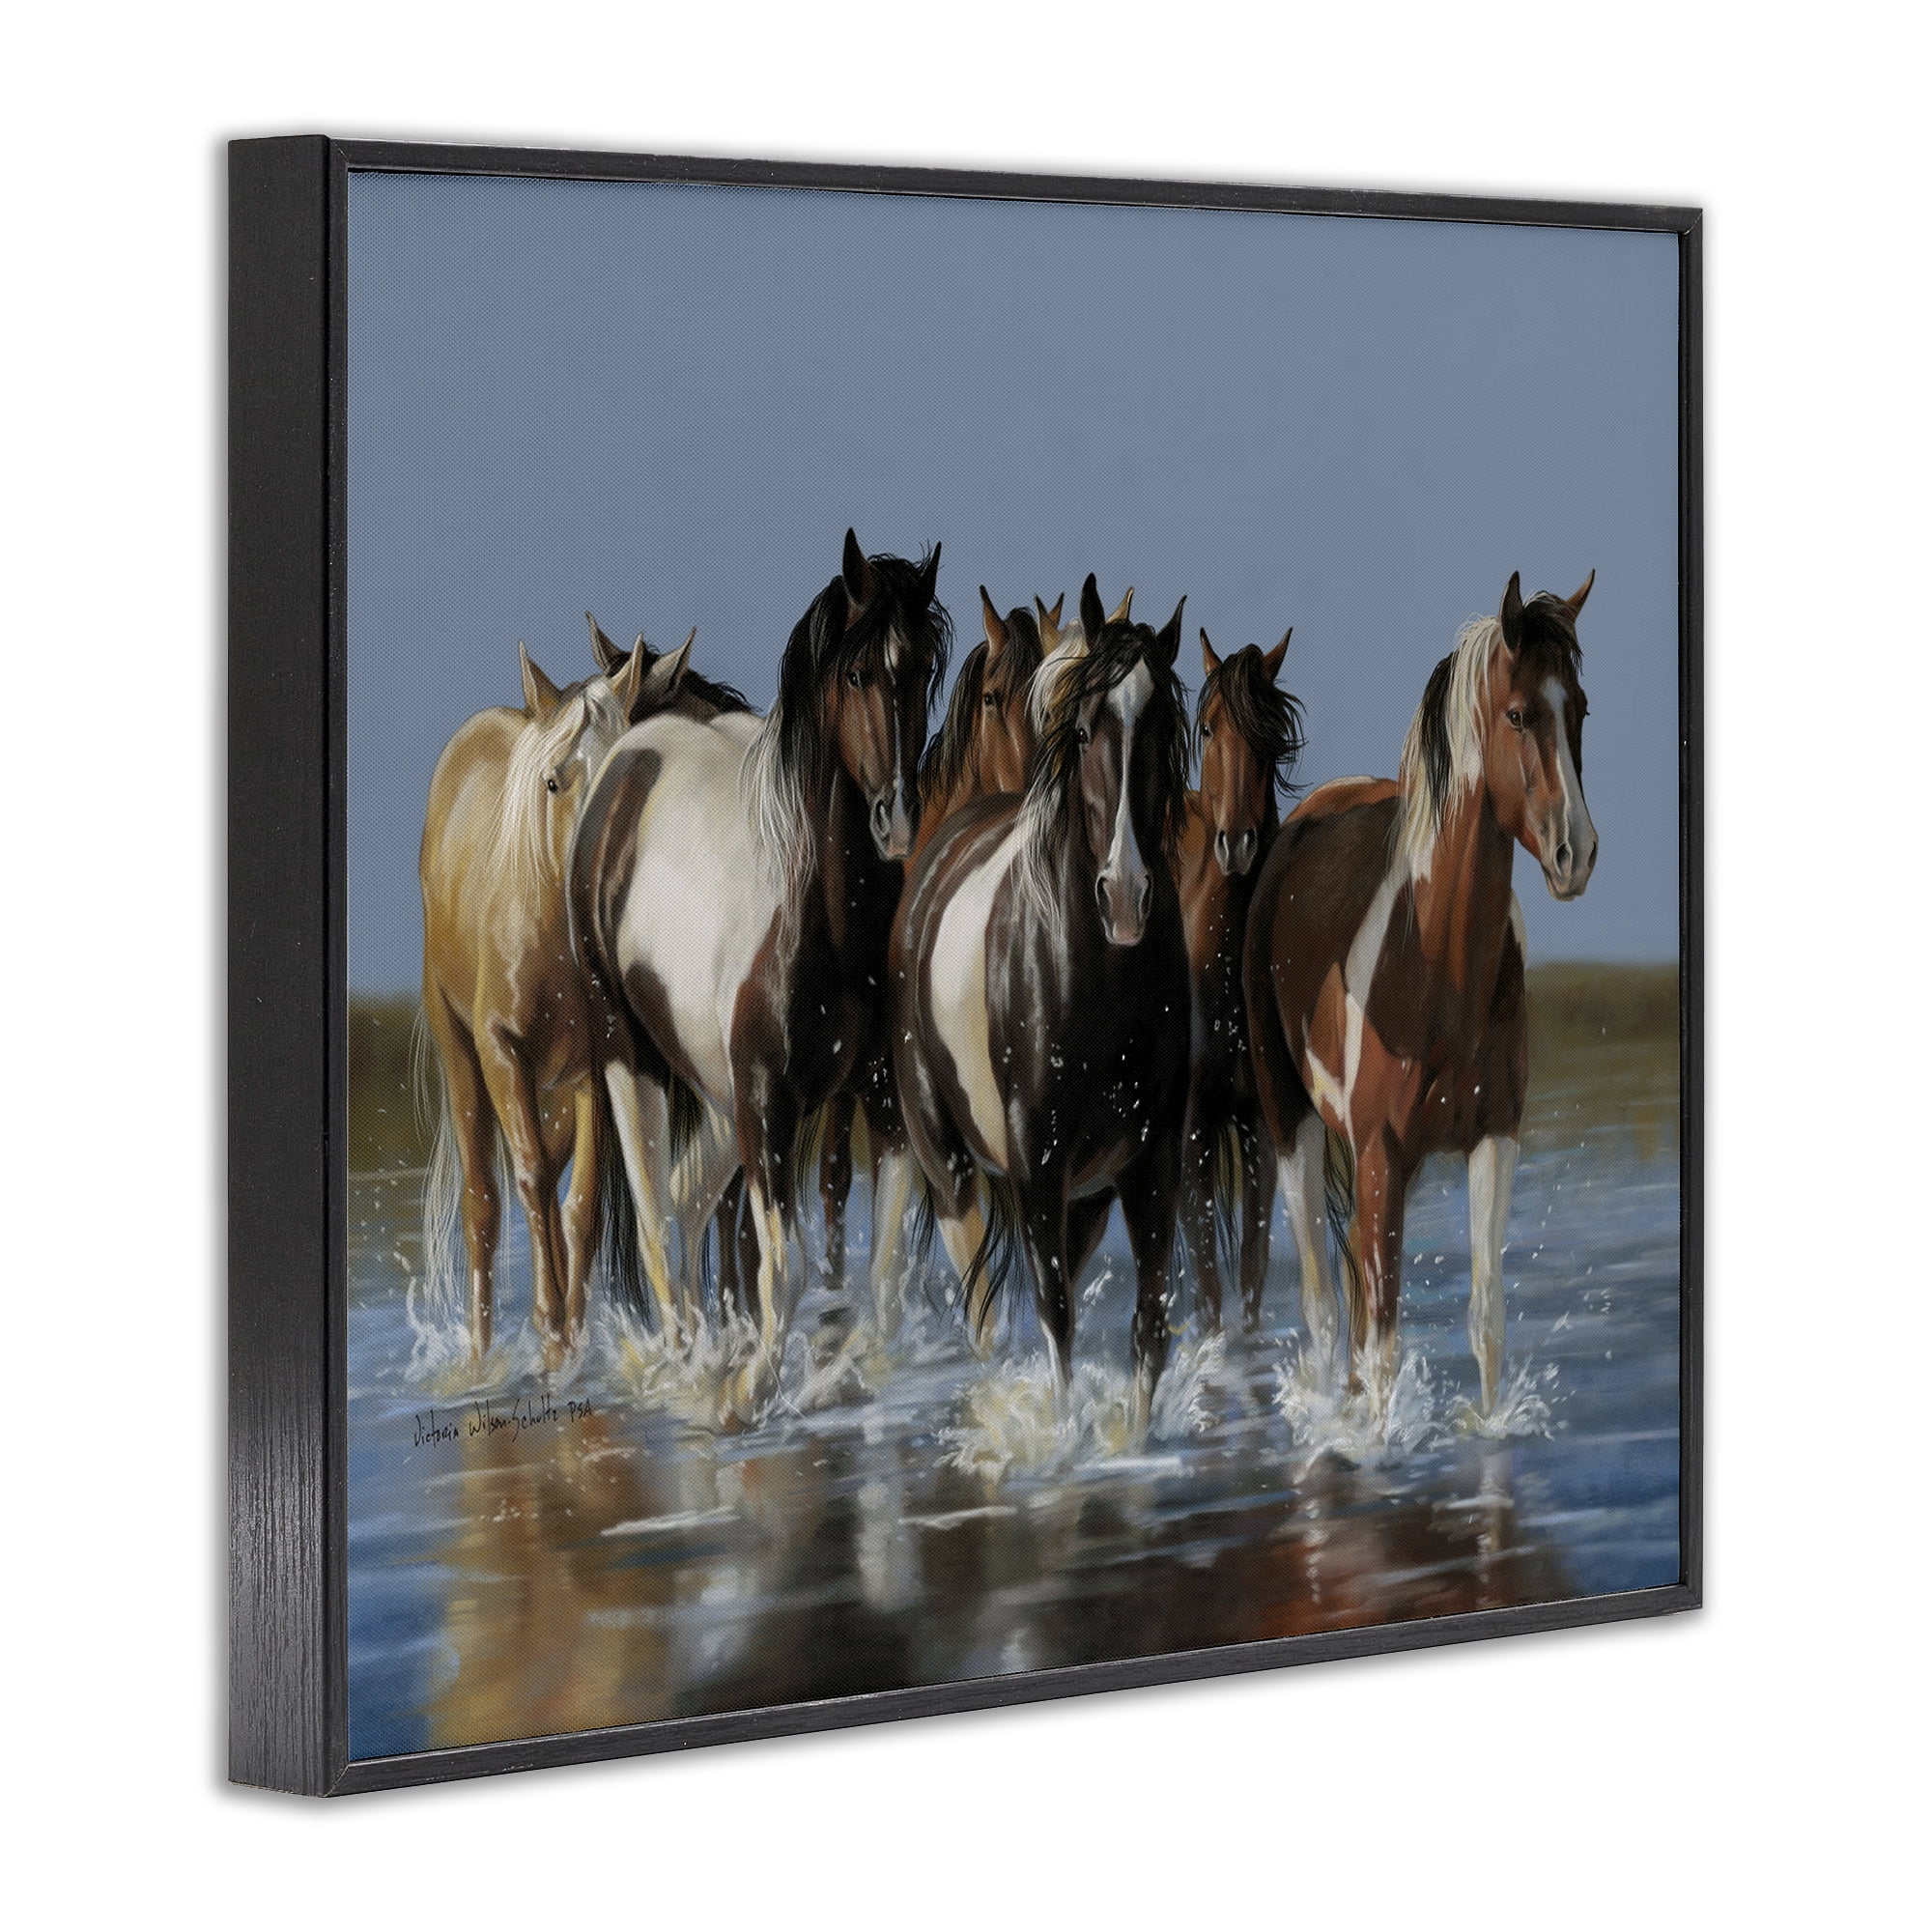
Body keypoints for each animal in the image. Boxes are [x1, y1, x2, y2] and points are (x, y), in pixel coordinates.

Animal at [417, 632, 695, 1367]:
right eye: (553, 783)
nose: (599, 874)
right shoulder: (500, 1049)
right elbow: (532, 1179)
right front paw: (546, 1321)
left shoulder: (598, 1062)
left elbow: (582, 1204)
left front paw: (566, 1337)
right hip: (460, 1048)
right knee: (484, 1203)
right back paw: (481, 1355)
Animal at [570, 530, 949, 1418]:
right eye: (856, 674)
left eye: (922, 669)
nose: (897, 819)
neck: (821, 926)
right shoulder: (766, 1105)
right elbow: (787, 1266)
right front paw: (748, 1390)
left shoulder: (879, 1104)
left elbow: (880, 1273)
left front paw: (837, 1376)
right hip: (631, 1058)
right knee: (658, 1222)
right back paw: (685, 1369)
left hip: (712, 1094)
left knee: (687, 1203)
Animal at [892, 574, 1193, 1436]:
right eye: (1085, 728)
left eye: (1162, 726)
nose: (1125, 895)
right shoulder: (1037, 1168)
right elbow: (1056, 1320)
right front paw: (1061, 1443)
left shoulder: (1149, 1165)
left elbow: (1149, 1329)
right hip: (954, 1172)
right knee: (986, 1315)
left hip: (1084, 1199)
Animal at [1243, 571, 1598, 1418]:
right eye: (1518, 713)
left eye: (1580, 709)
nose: (1576, 852)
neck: (1439, 970)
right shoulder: (1381, 1160)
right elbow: (1382, 1343)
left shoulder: (1494, 1138)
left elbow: (1485, 1318)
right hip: (1292, 1125)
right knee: (1326, 1309)